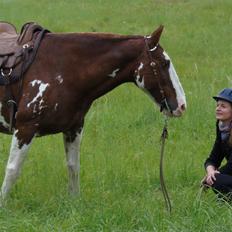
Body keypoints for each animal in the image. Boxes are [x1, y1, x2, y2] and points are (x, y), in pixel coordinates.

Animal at [0, 25, 186, 203]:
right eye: (164, 63)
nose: (182, 105)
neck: (61, 68)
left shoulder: (74, 128)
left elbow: (73, 167)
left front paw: (74, 202)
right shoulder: (25, 129)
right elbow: (12, 170)